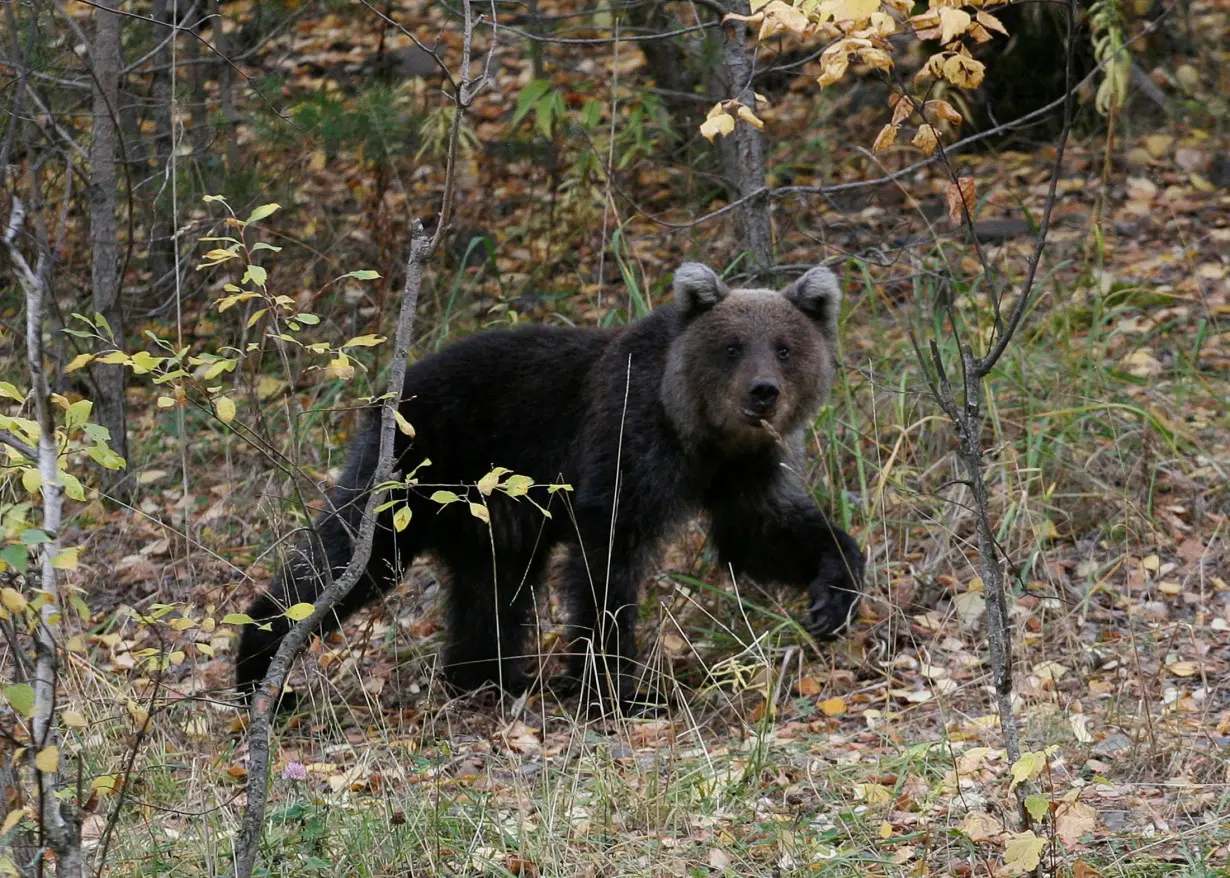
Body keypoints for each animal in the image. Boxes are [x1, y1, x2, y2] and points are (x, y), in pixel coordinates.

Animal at [232, 259, 865, 713]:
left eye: (785, 348)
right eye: (732, 346)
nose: (763, 392)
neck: (700, 435)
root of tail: (393, 390)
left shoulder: (745, 469)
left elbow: (761, 533)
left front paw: (834, 594)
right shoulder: (628, 441)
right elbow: (608, 559)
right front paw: (619, 690)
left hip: (490, 511)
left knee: (494, 587)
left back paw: (489, 677)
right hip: (417, 470)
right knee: (350, 557)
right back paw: (263, 669)